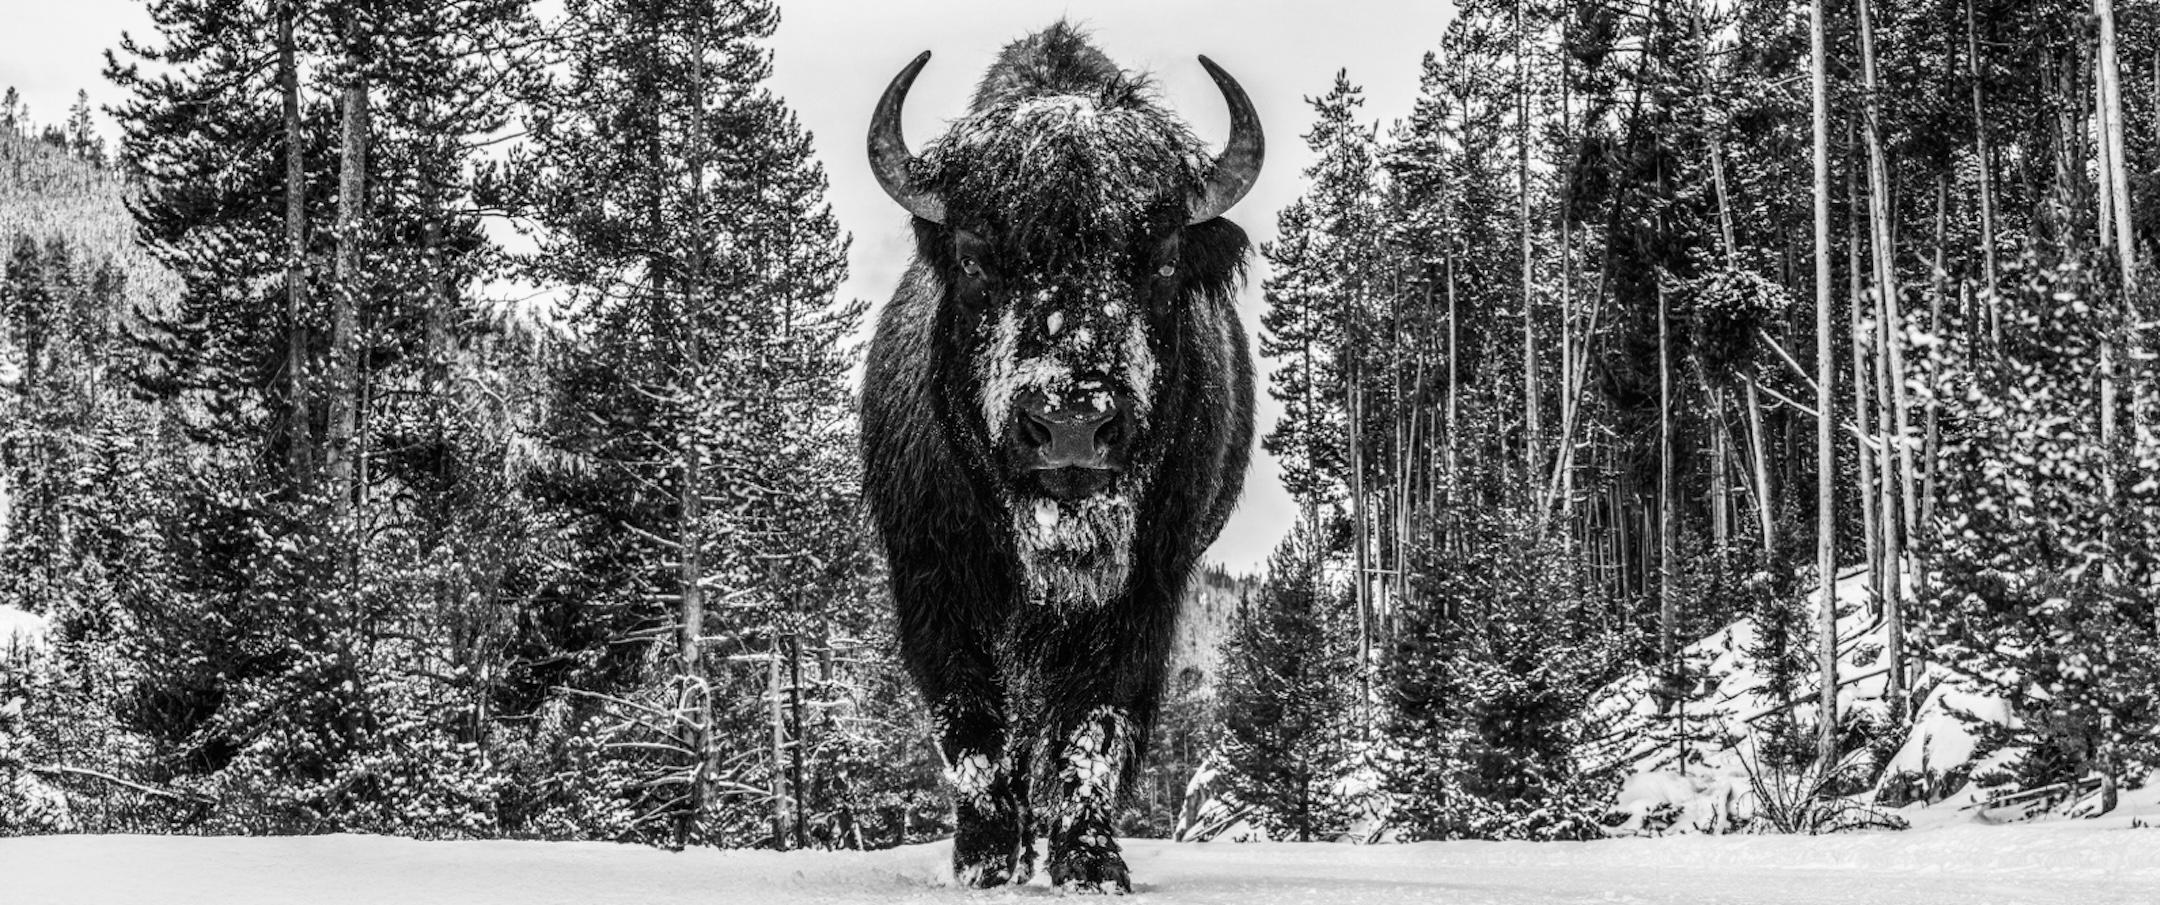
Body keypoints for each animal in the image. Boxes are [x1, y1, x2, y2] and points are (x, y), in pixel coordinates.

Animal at [860, 22, 1262, 892]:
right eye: (975, 255)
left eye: (1162, 256)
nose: (1072, 425)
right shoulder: (932, 579)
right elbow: (970, 721)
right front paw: (984, 857)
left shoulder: (1147, 591)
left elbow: (1094, 723)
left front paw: (1090, 860)